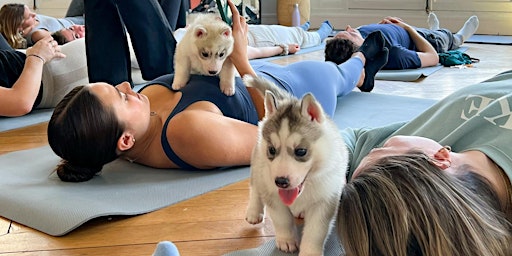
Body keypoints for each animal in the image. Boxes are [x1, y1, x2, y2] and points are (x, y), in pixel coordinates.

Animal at [243, 75, 348, 255]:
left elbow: (316, 231)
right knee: (255, 187)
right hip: (258, 165)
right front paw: (286, 240)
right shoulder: (273, 195)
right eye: (272, 150)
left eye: (301, 151)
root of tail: (287, 99)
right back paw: (254, 211)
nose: (281, 182)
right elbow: (282, 220)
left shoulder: (325, 200)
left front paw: (310, 251)